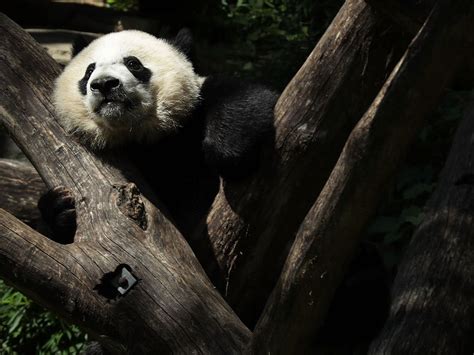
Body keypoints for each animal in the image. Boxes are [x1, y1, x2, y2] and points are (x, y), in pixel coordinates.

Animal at [40, 29, 278, 243]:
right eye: (89, 70)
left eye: (133, 63)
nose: (104, 83)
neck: (140, 135)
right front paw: (60, 208)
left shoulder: (192, 115)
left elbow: (246, 96)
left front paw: (228, 154)